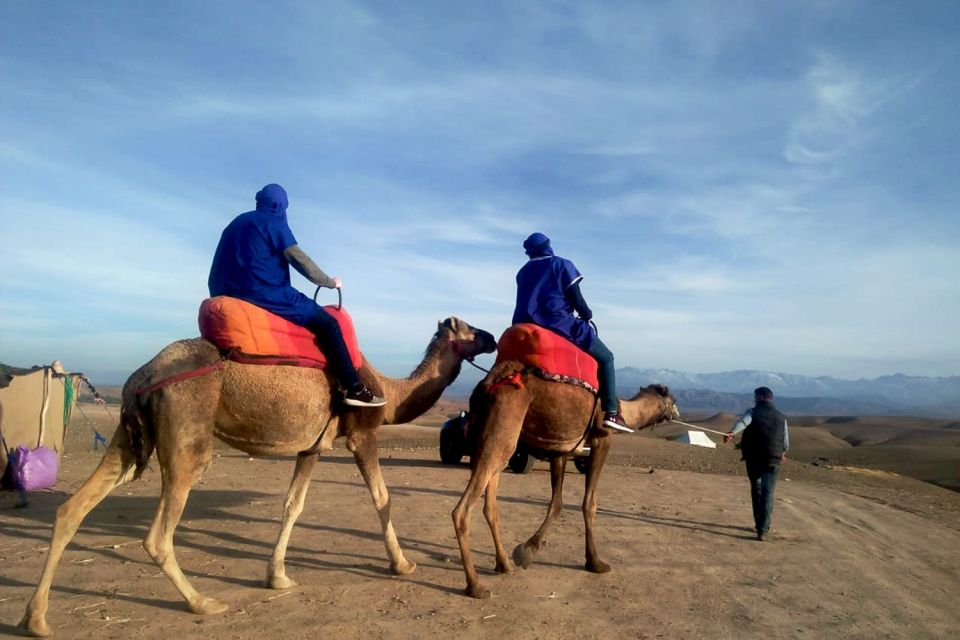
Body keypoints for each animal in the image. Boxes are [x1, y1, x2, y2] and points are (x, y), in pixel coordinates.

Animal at [20, 316, 496, 636]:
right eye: (468, 328)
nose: (493, 337)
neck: (390, 391)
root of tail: (141, 376)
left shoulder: (311, 447)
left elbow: (293, 505)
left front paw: (277, 576)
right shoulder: (362, 434)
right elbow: (383, 498)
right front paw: (402, 563)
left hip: (129, 436)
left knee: (72, 508)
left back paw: (36, 618)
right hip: (188, 434)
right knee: (158, 533)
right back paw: (203, 602)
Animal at [454, 360, 680, 600]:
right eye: (672, 400)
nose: (677, 411)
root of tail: (489, 383)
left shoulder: (560, 450)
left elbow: (557, 503)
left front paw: (527, 550)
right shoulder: (602, 440)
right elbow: (589, 503)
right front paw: (595, 562)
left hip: (494, 436)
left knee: (490, 505)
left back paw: (504, 564)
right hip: (502, 427)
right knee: (462, 510)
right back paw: (475, 585)